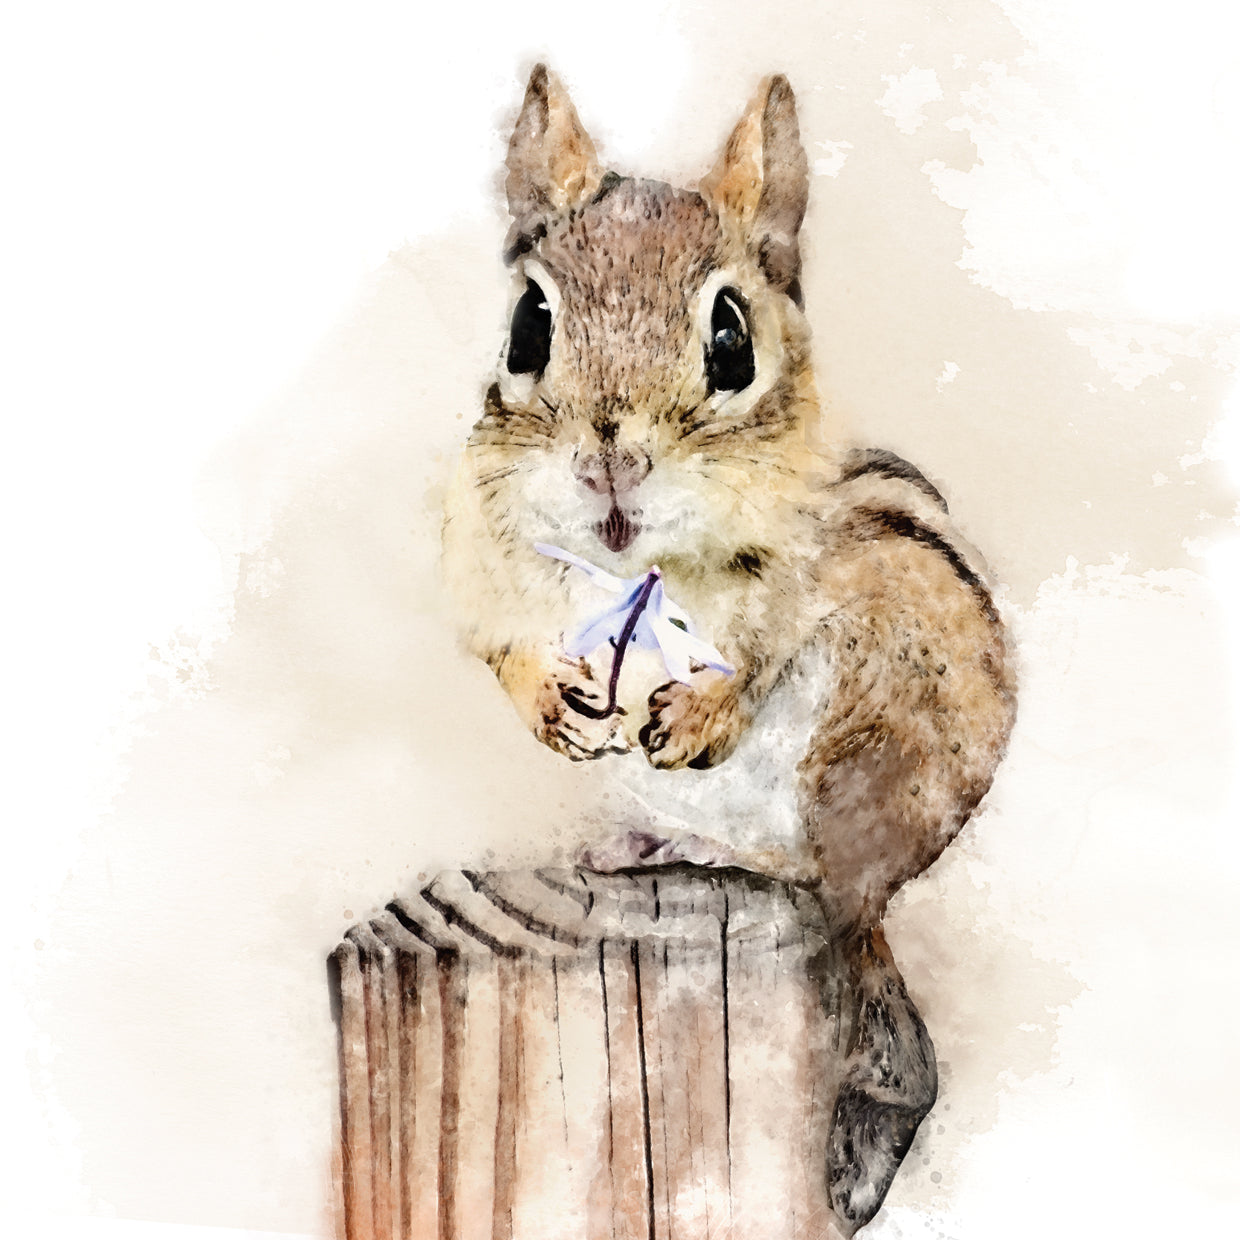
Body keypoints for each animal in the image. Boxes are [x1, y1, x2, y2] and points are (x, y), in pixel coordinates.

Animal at [442, 65, 1016, 933]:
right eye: (528, 326)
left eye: (731, 338)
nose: (610, 462)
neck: (633, 567)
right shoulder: (484, 561)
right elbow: (497, 646)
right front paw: (549, 703)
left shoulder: (829, 568)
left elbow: (765, 647)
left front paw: (699, 714)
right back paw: (643, 844)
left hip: (863, 750)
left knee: (825, 876)